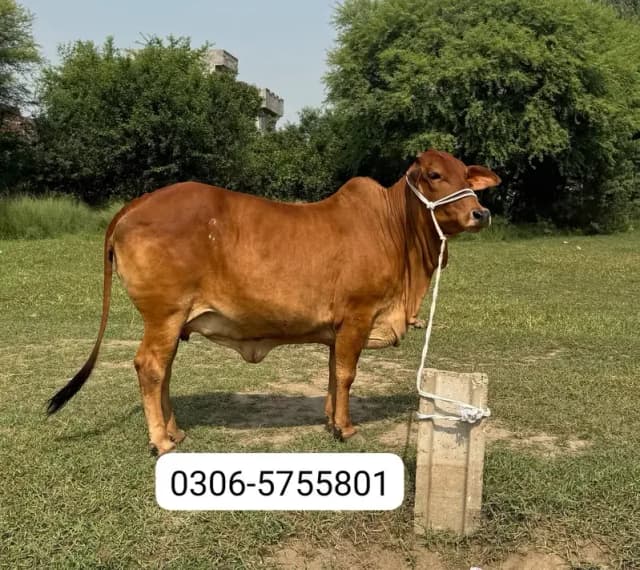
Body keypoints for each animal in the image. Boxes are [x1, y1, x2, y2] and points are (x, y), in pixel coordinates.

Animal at [47, 149, 500, 455]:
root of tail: (135, 204)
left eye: (466, 175)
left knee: (164, 371)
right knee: (151, 367)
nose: (480, 213)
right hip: (164, 315)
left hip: (173, 324)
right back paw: (161, 440)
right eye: (435, 174)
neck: (395, 230)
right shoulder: (358, 316)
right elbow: (347, 374)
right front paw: (346, 428)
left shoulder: (337, 329)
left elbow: (333, 374)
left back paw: (174, 430)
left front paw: (330, 420)